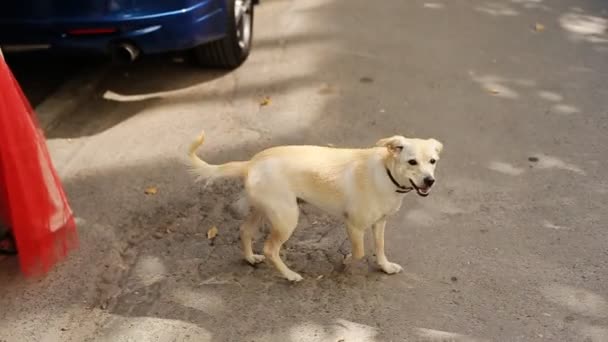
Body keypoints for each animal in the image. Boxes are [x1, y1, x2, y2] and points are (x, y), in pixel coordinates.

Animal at [188, 132, 444, 282]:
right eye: (412, 162)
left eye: (433, 161)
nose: (430, 181)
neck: (385, 172)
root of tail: (250, 163)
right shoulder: (354, 226)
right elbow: (360, 252)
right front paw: (346, 264)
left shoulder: (380, 223)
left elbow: (380, 247)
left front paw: (385, 267)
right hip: (287, 219)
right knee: (271, 249)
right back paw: (290, 275)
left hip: (264, 211)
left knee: (245, 231)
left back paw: (251, 259)